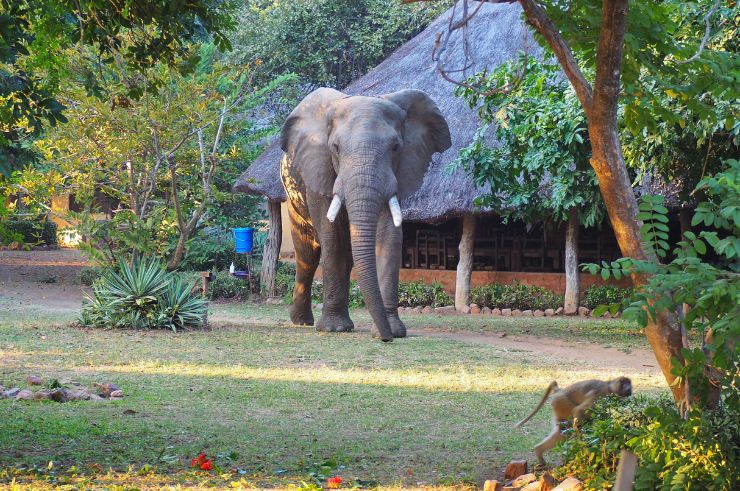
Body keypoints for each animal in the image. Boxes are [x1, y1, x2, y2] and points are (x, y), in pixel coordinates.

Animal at [278, 87, 448, 342]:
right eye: (335, 148)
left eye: (396, 147)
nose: (386, 339)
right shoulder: (319, 169)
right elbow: (332, 237)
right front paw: (333, 329)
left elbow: (389, 236)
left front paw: (393, 331)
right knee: (307, 254)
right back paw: (303, 322)